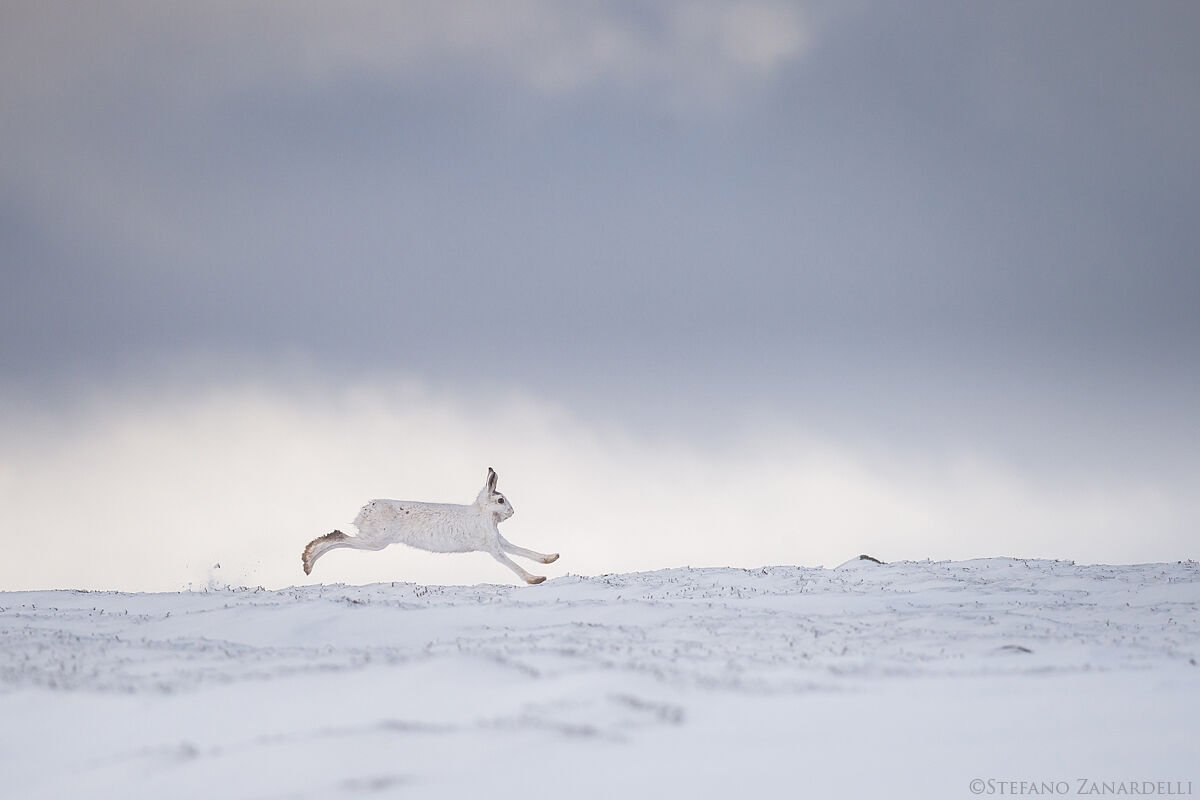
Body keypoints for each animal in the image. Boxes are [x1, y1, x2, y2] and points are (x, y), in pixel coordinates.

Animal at [301, 468, 559, 584]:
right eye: (501, 500)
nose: (512, 512)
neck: (483, 513)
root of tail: (365, 509)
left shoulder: (500, 541)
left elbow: (523, 551)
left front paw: (551, 558)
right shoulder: (493, 547)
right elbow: (512, 562)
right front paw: (536, 579)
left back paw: (307, 562)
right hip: (374, 541)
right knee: (338, 537)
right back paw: (308, 560)